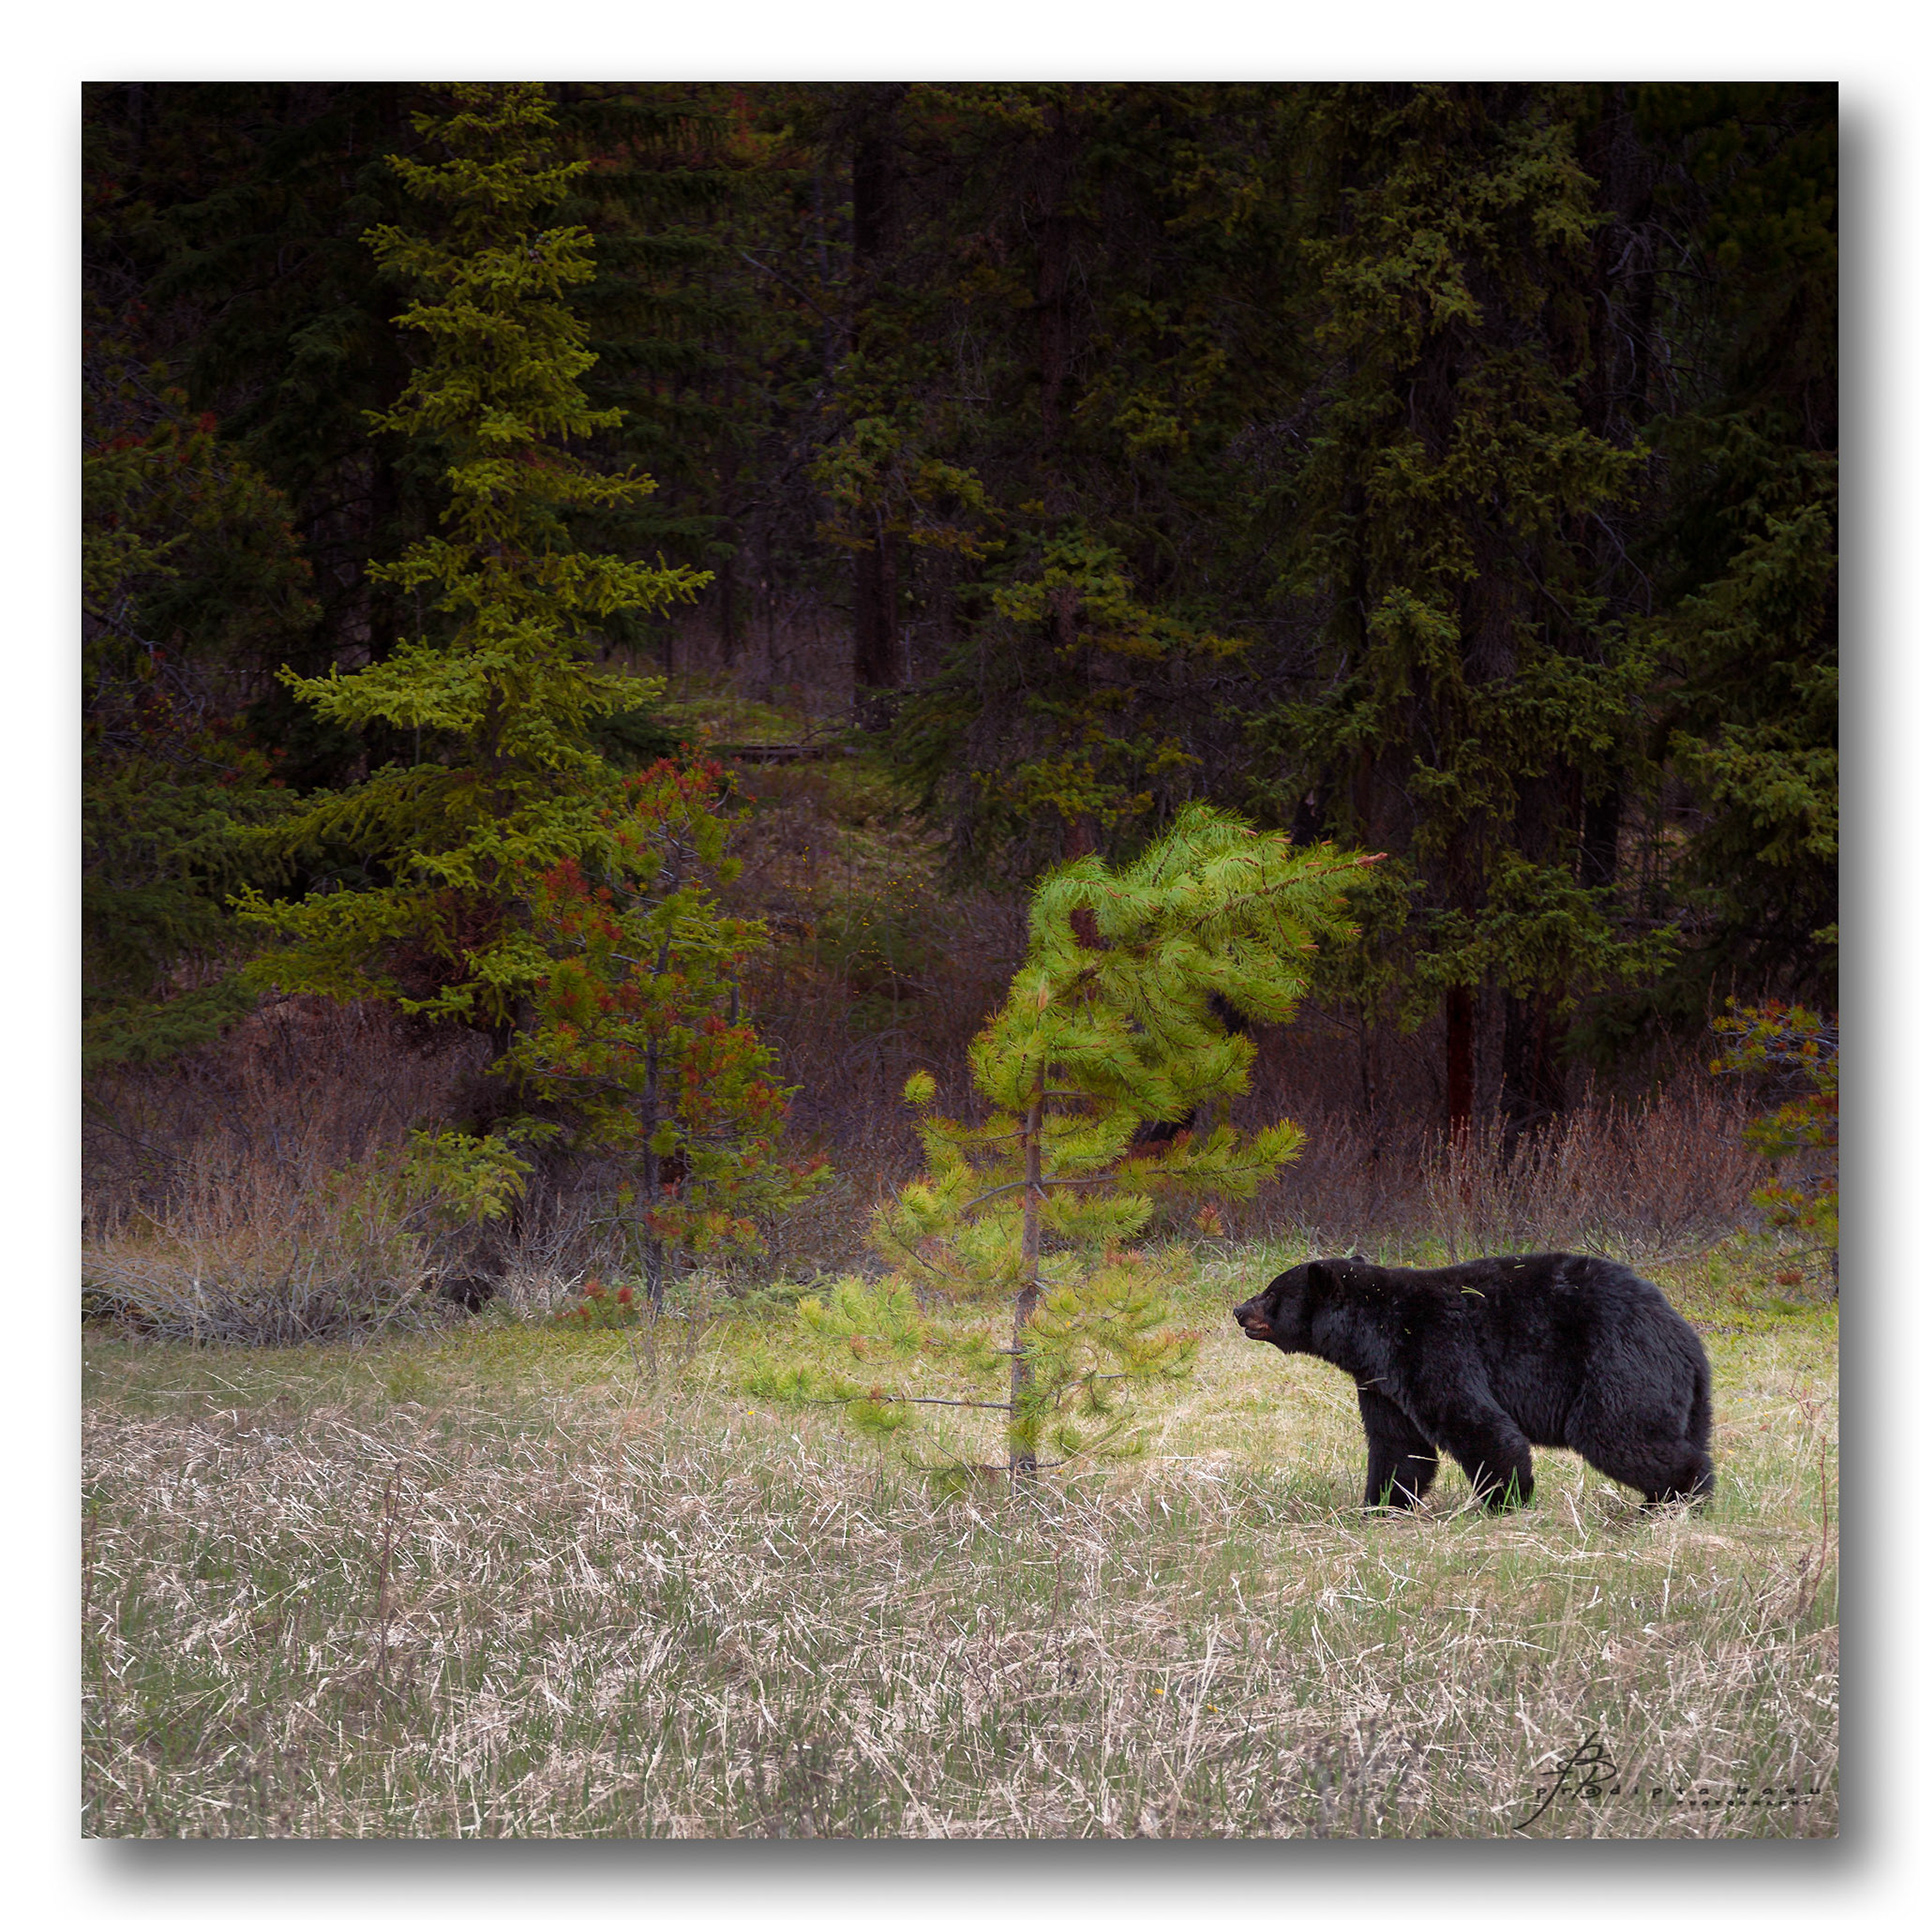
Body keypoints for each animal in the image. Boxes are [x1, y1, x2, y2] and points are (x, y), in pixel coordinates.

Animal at [1231, 1253, 1713, 1510]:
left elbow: (1474, 1421)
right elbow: (1398, 1445)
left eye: (1271, 1293)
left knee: (1616, 1432)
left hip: (1617, 1364)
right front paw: (1379, 1505)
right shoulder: (1380, 1381)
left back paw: (1680, 1497)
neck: (1373, 1331)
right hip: (1681, 1394)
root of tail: (1686, 1338)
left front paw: (1507, 1499)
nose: (1238, 1310)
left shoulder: (1430, 1344)